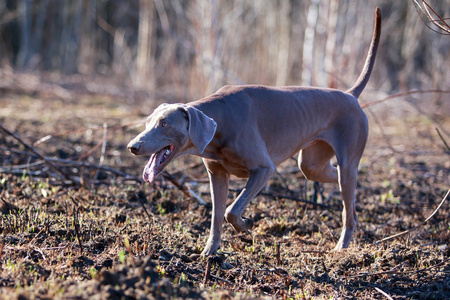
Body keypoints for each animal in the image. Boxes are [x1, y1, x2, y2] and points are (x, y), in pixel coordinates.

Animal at [128, 7, 382, 255]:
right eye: (148, 122)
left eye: (164, 123)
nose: (132, 146)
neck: (220, 121)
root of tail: (350, 95)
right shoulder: (217, 175)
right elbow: (216, 216)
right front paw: (209, 252)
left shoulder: (263, 169)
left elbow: (231, 210)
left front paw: (245, 225)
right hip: (312, 164)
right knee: (340, 187)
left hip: (347, 155)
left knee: (347, 202)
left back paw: (341, 248)